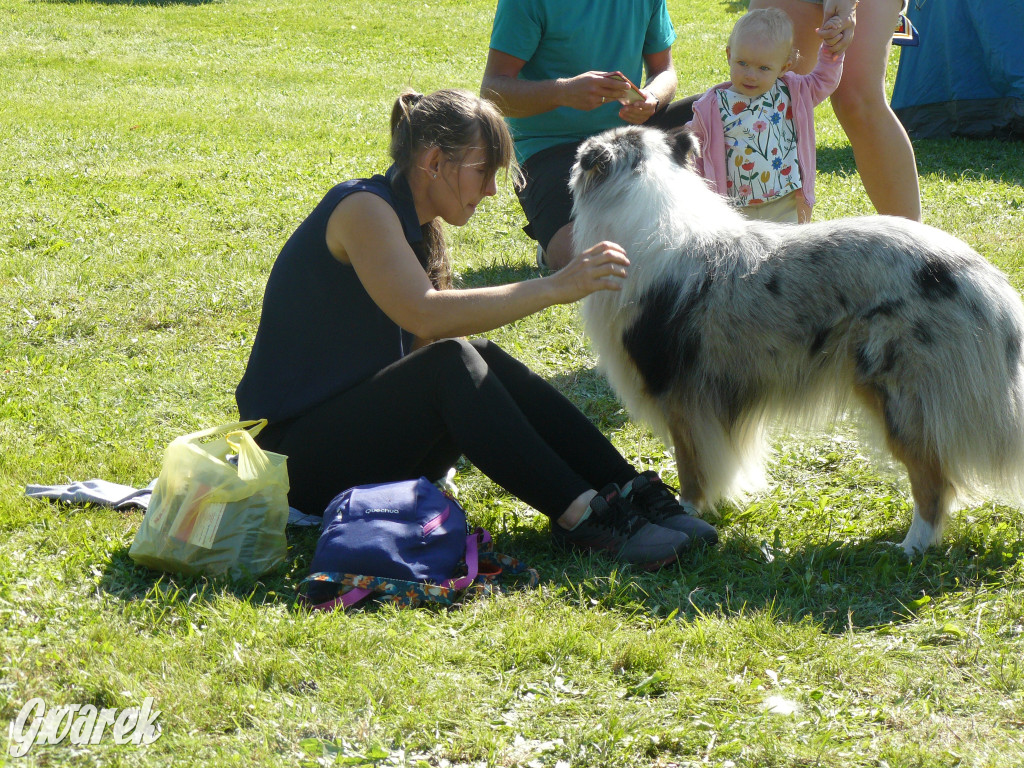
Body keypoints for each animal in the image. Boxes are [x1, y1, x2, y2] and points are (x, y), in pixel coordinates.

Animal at [569, 128, 1024, 561]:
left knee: (933, 481)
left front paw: (688, 509)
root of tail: (987, 282)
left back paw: (911, 547)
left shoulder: (680, 396)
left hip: (898, 394)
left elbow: (691, 466)